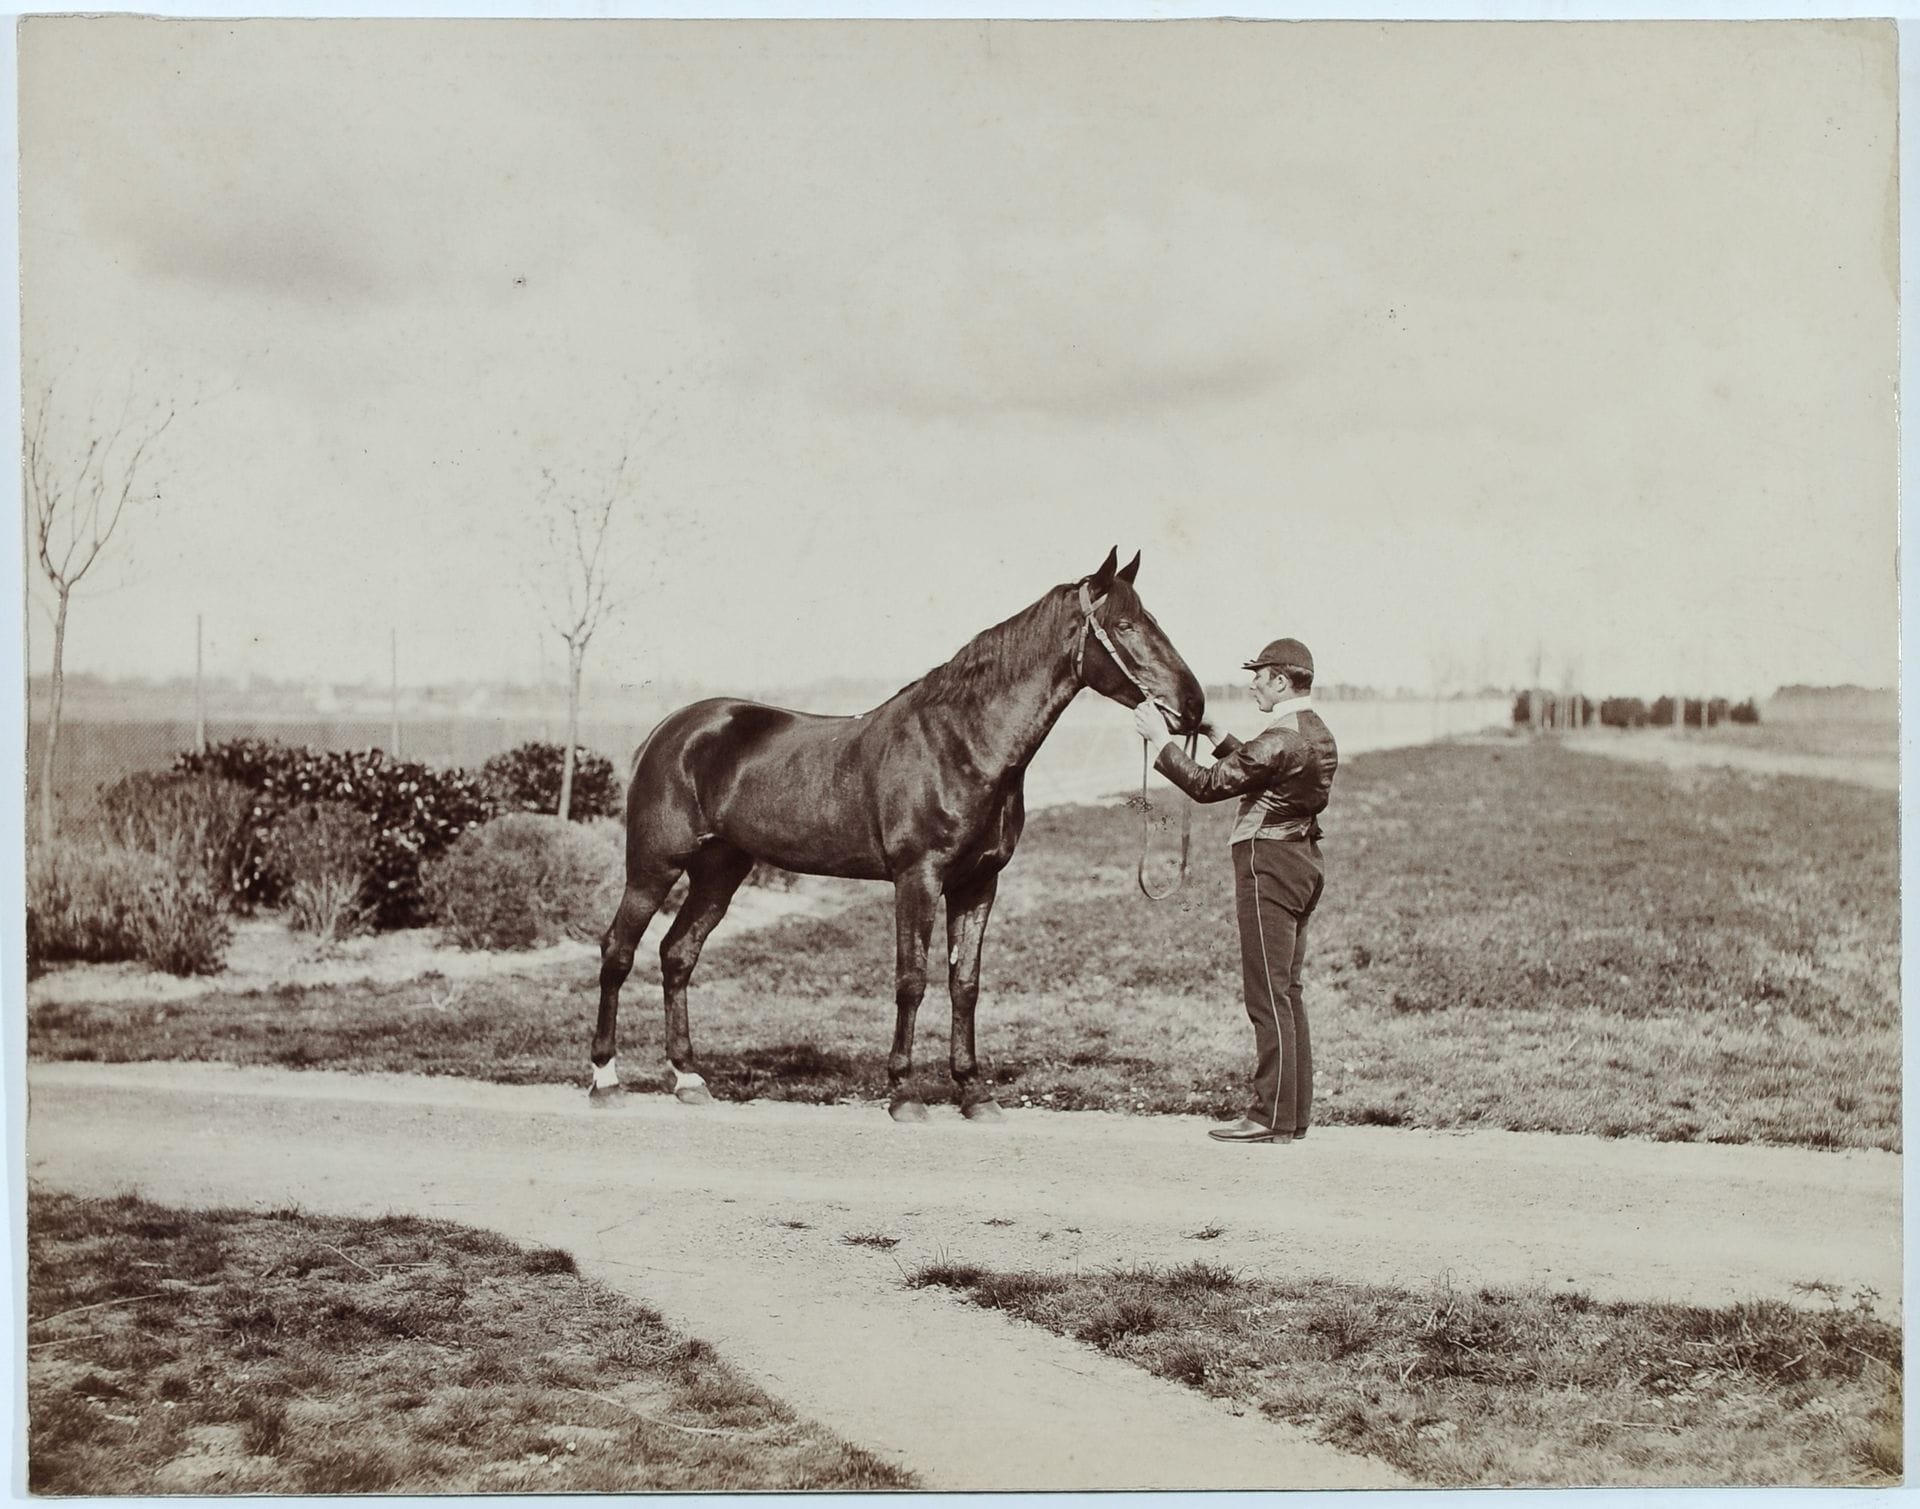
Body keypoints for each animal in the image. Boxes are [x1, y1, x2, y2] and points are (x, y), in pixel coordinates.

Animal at [588, 546, 1205, 1122]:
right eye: (1124, 625)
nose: (1194, 706)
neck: (961, 744)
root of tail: (670, 730)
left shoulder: (978, 884)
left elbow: (965, 985)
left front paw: (974, 1092)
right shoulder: (918, 877)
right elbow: (912, 980)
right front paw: (904, 1093)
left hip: (720, 871)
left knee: (677, 954)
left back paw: (689, 1080)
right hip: (654, 866)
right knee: (619, 949)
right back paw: (605, 1080)